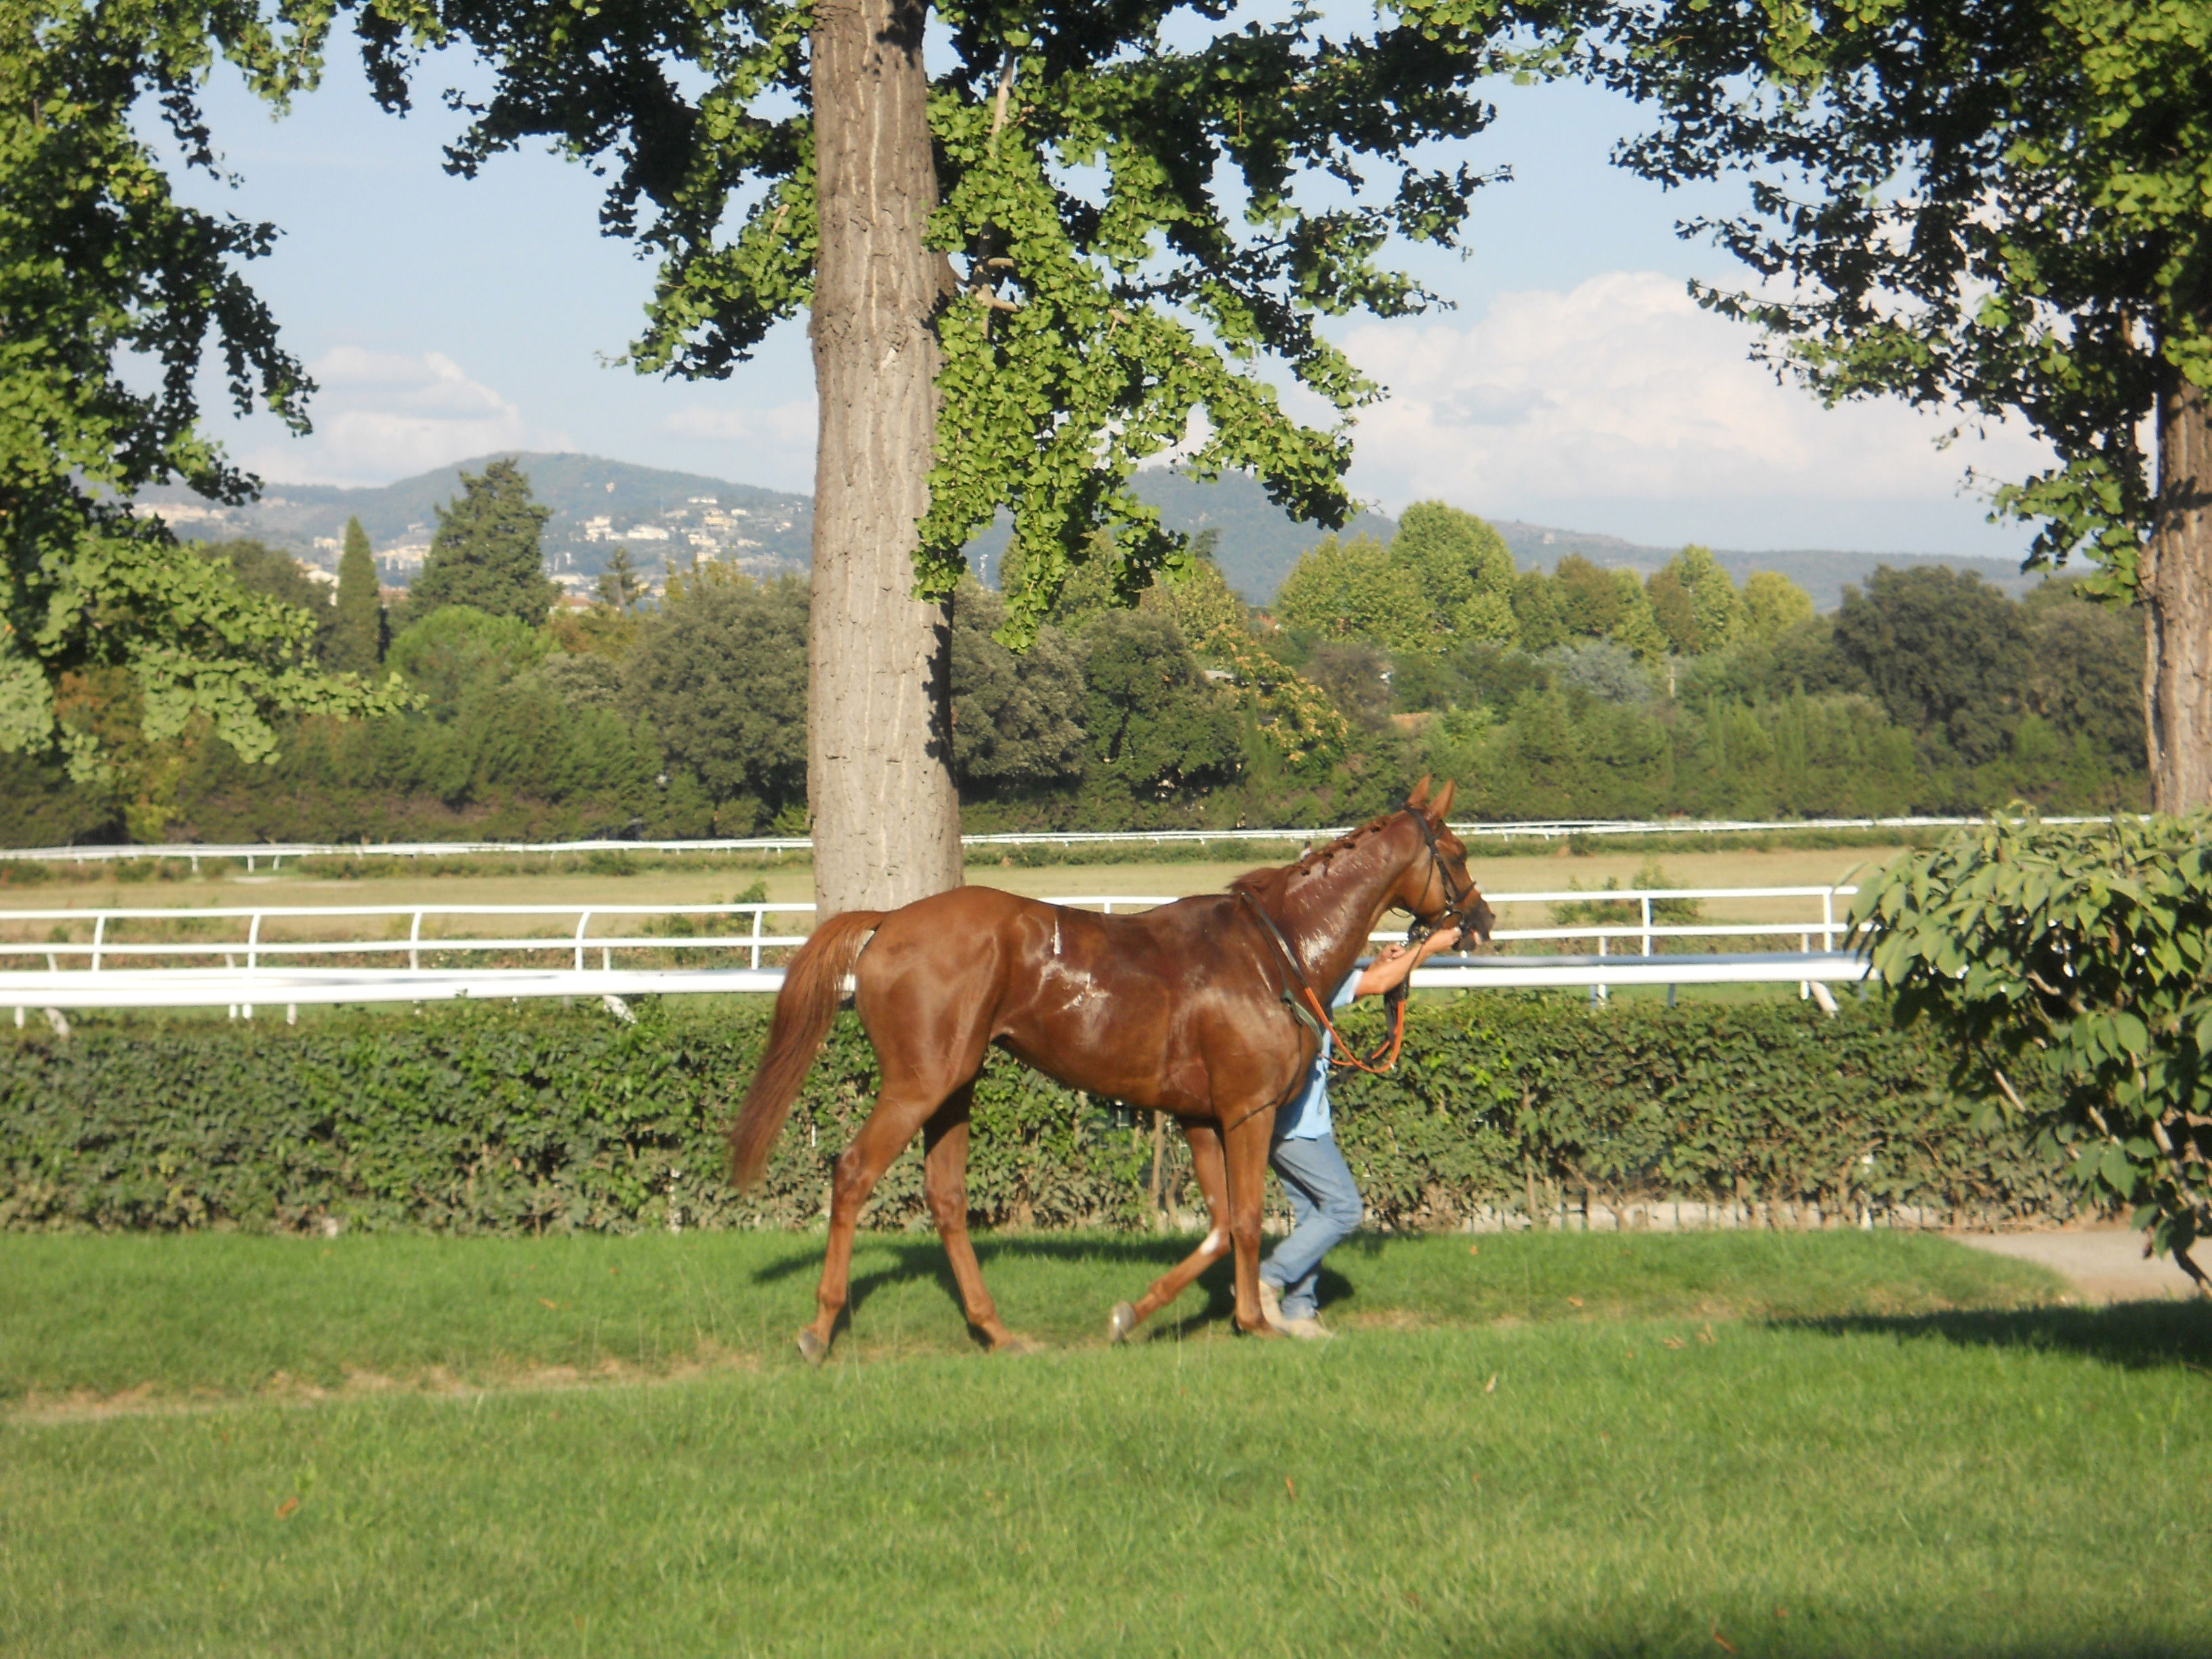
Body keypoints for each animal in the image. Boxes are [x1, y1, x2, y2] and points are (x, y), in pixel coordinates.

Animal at [725, 778, 1486, 1362]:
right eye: (1456, 851)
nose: (1479, 919)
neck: (1275, 953)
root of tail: (889, 921)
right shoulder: (1248, 1110)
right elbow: (1243, 1219)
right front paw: (1254, 1320)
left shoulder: (1199, 1117)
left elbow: (1217, 1225)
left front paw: (1134, 1314)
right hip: (918, 1085)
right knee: (853, 1175)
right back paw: (820, 1327)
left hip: (953, 1089)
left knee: (946, 1198)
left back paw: (996, 1330)